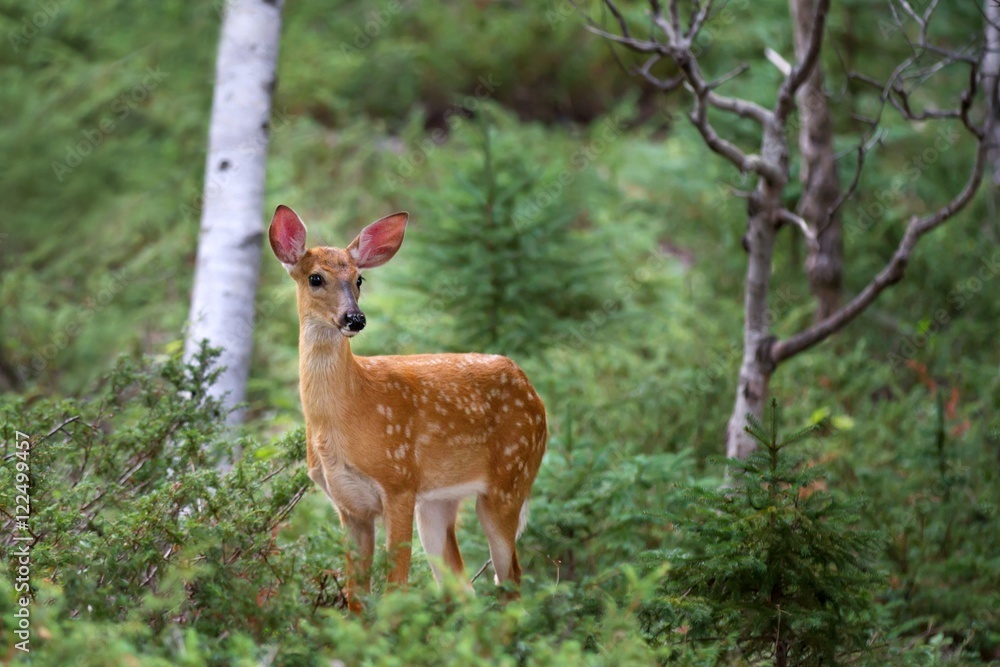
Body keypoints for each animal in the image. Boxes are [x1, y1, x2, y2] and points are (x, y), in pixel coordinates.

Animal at [268, 205, 547, 607]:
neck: (344, 416)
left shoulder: (398, 481)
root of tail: (532, 391)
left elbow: (395, 588)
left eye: (360, 279)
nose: (355, 318)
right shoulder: (347, 504)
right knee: (462, 587)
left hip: (510, 478)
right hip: (438, 501)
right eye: (315, 278)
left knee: (511, 579)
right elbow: (356, 597)